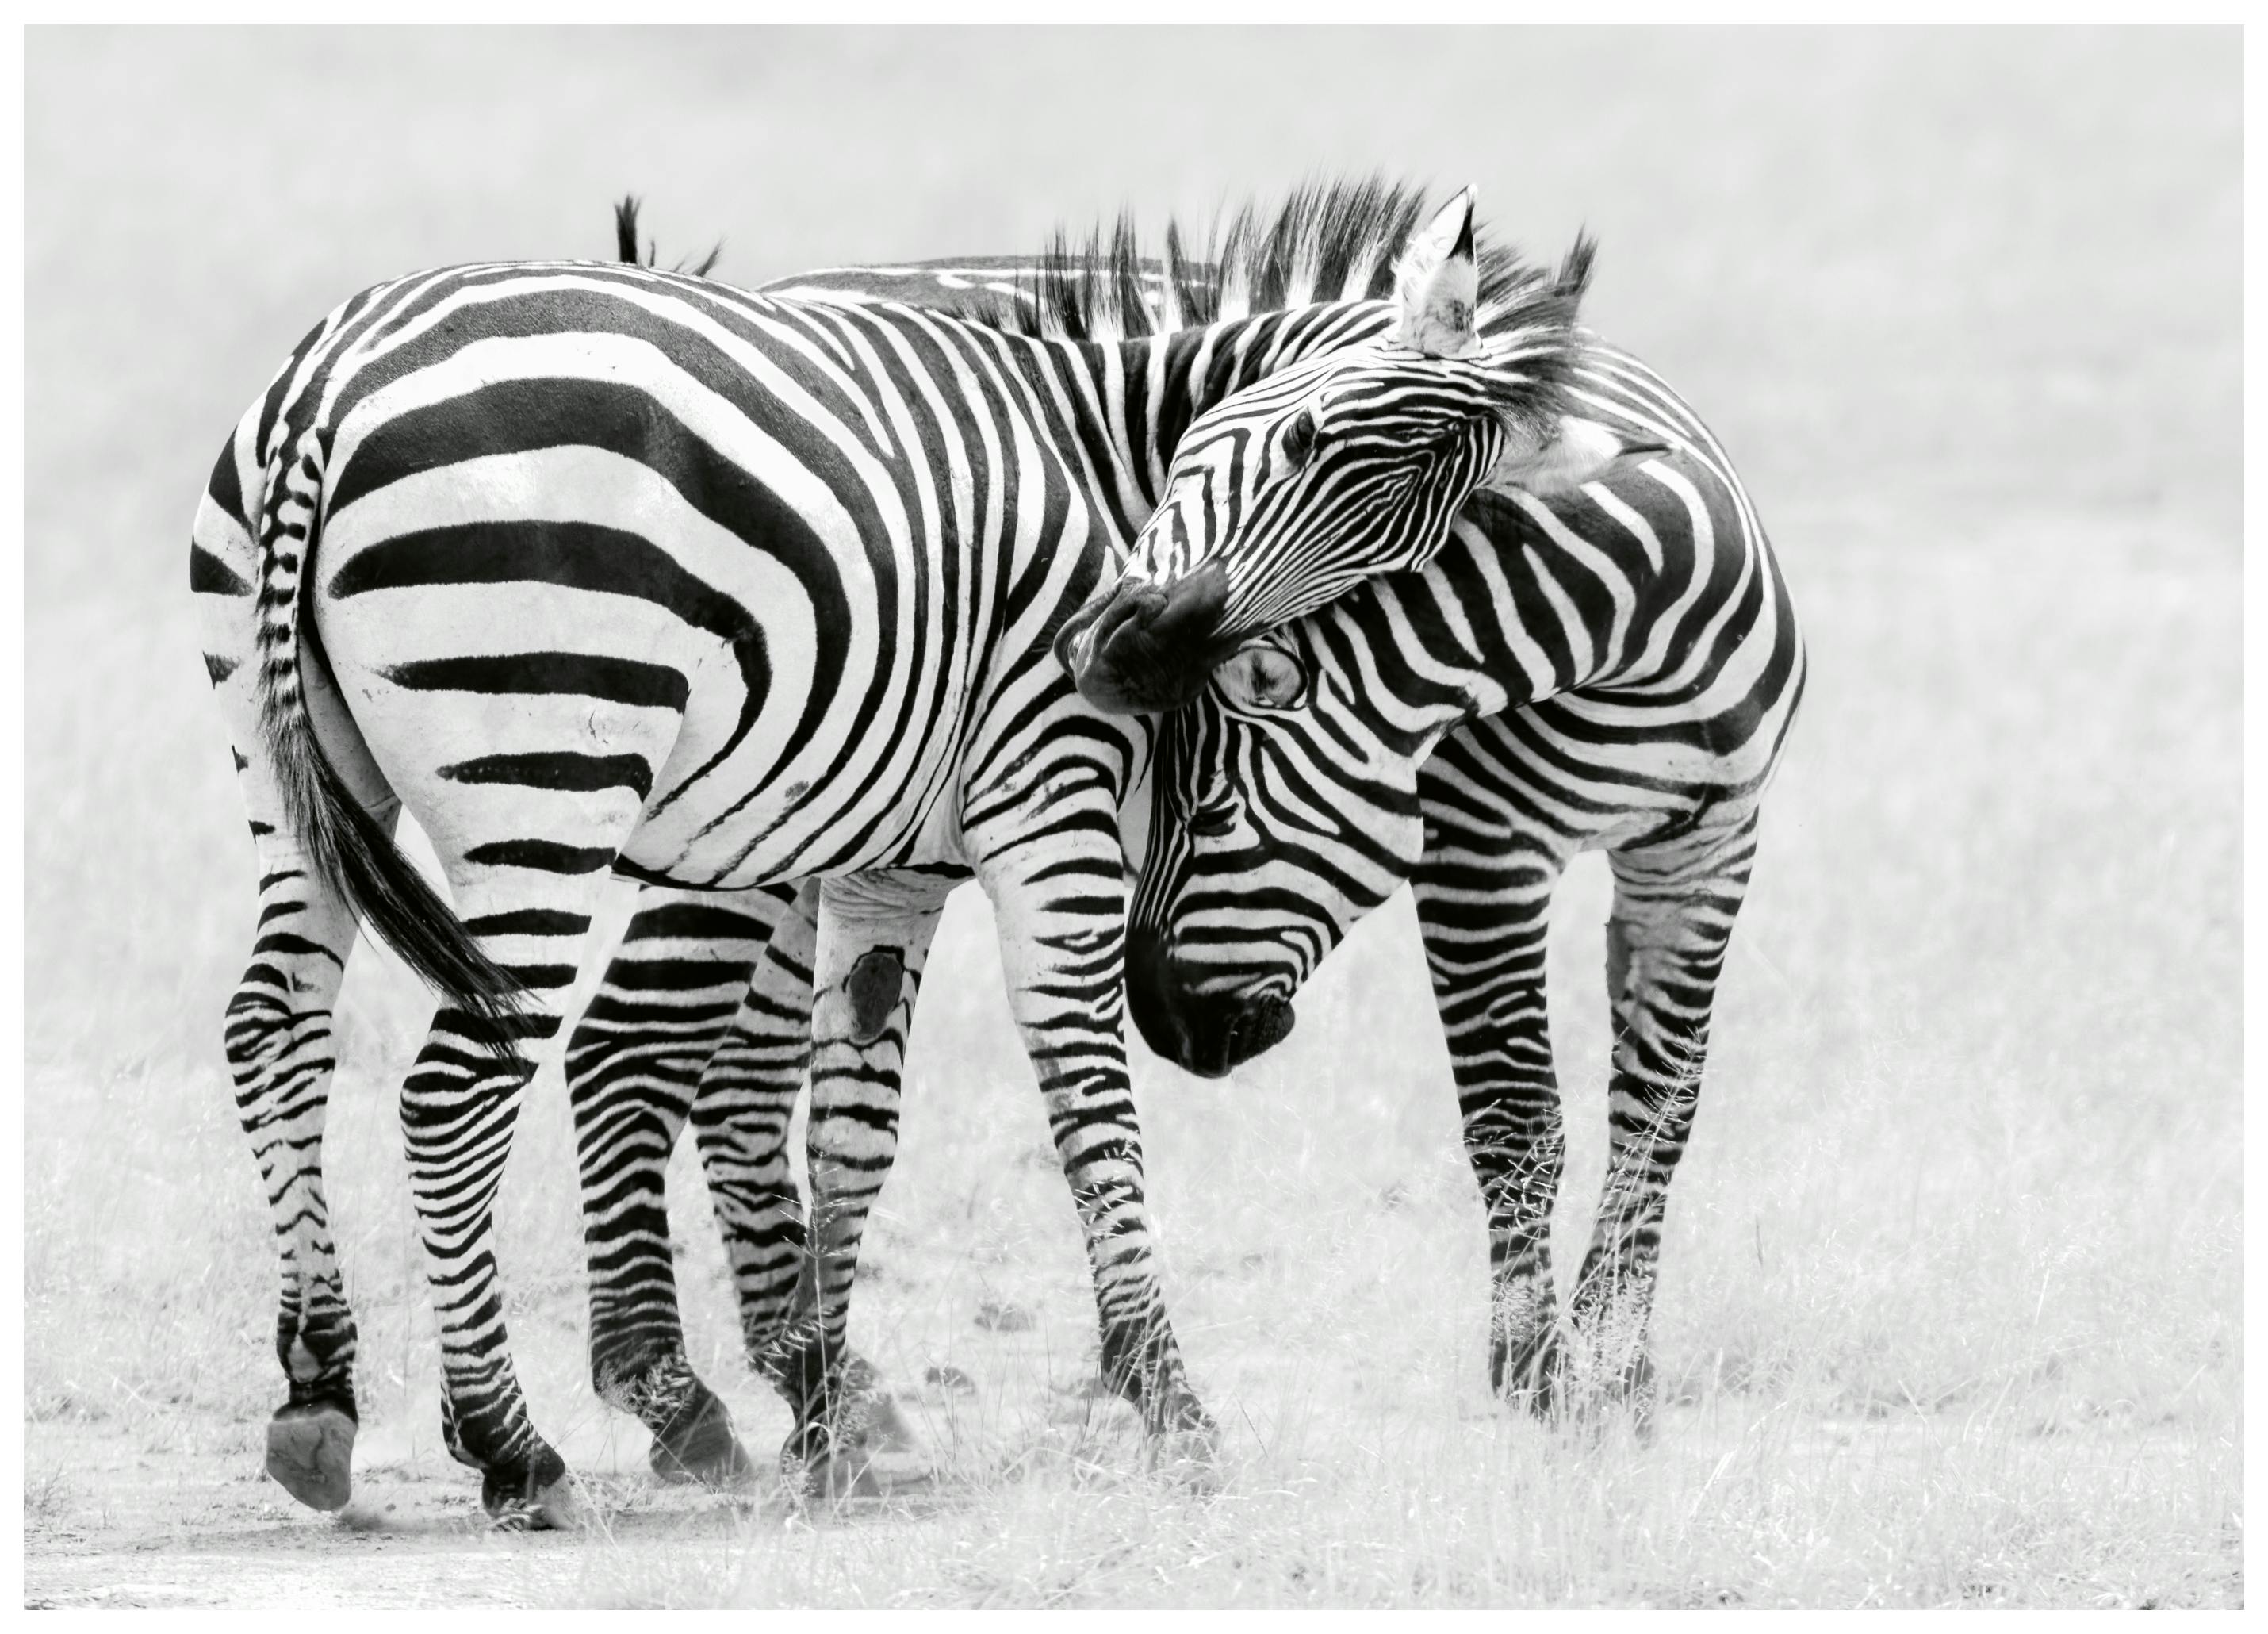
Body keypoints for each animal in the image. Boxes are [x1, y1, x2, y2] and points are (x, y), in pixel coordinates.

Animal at [191, 189, 1602, 1524]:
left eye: (1398, 547)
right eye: (1307, 441)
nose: (1128, 654)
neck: (1106, 457)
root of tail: (332, 385)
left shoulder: (896, 860)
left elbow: (853, 1127)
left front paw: (827, 1418)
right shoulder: (1048, 797)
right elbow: (1085, 1090)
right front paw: (1170, 1400)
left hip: (301, 779)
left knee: (276, 1033)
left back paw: (320, 1393)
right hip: (550, 775)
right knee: (461, 1094)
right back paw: (513, 1448)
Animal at [567, 188, 1767, 1489]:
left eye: (1403, 550)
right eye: (1296, 442)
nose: (1137, 656)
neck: (1631, 656)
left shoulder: (1712, 855)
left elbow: (1662, 1108)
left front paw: (1618, 1369)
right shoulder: (1478, 853)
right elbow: (1518, 1111)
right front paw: (1541, 1375)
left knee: (734, 1075)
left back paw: (812, 1385)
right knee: (628, 1043)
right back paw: (677, 1391)